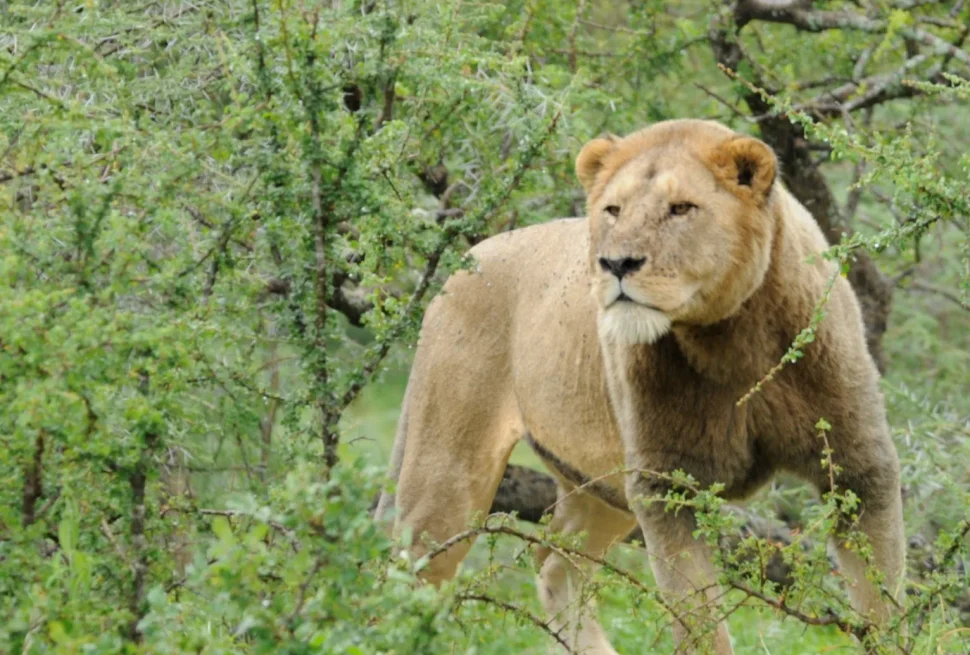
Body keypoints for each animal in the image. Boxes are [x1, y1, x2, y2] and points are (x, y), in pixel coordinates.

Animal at [375, 119, 904, 654]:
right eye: (613, 210)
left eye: (681, 208)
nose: (616, 263)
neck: (732, 339)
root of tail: (467, 255)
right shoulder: (664, 484)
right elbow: (699, 624)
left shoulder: (860, 468)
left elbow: (883, 602)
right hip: (448, 471)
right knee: (404, 574)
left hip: (600, 485)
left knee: (555, 564)